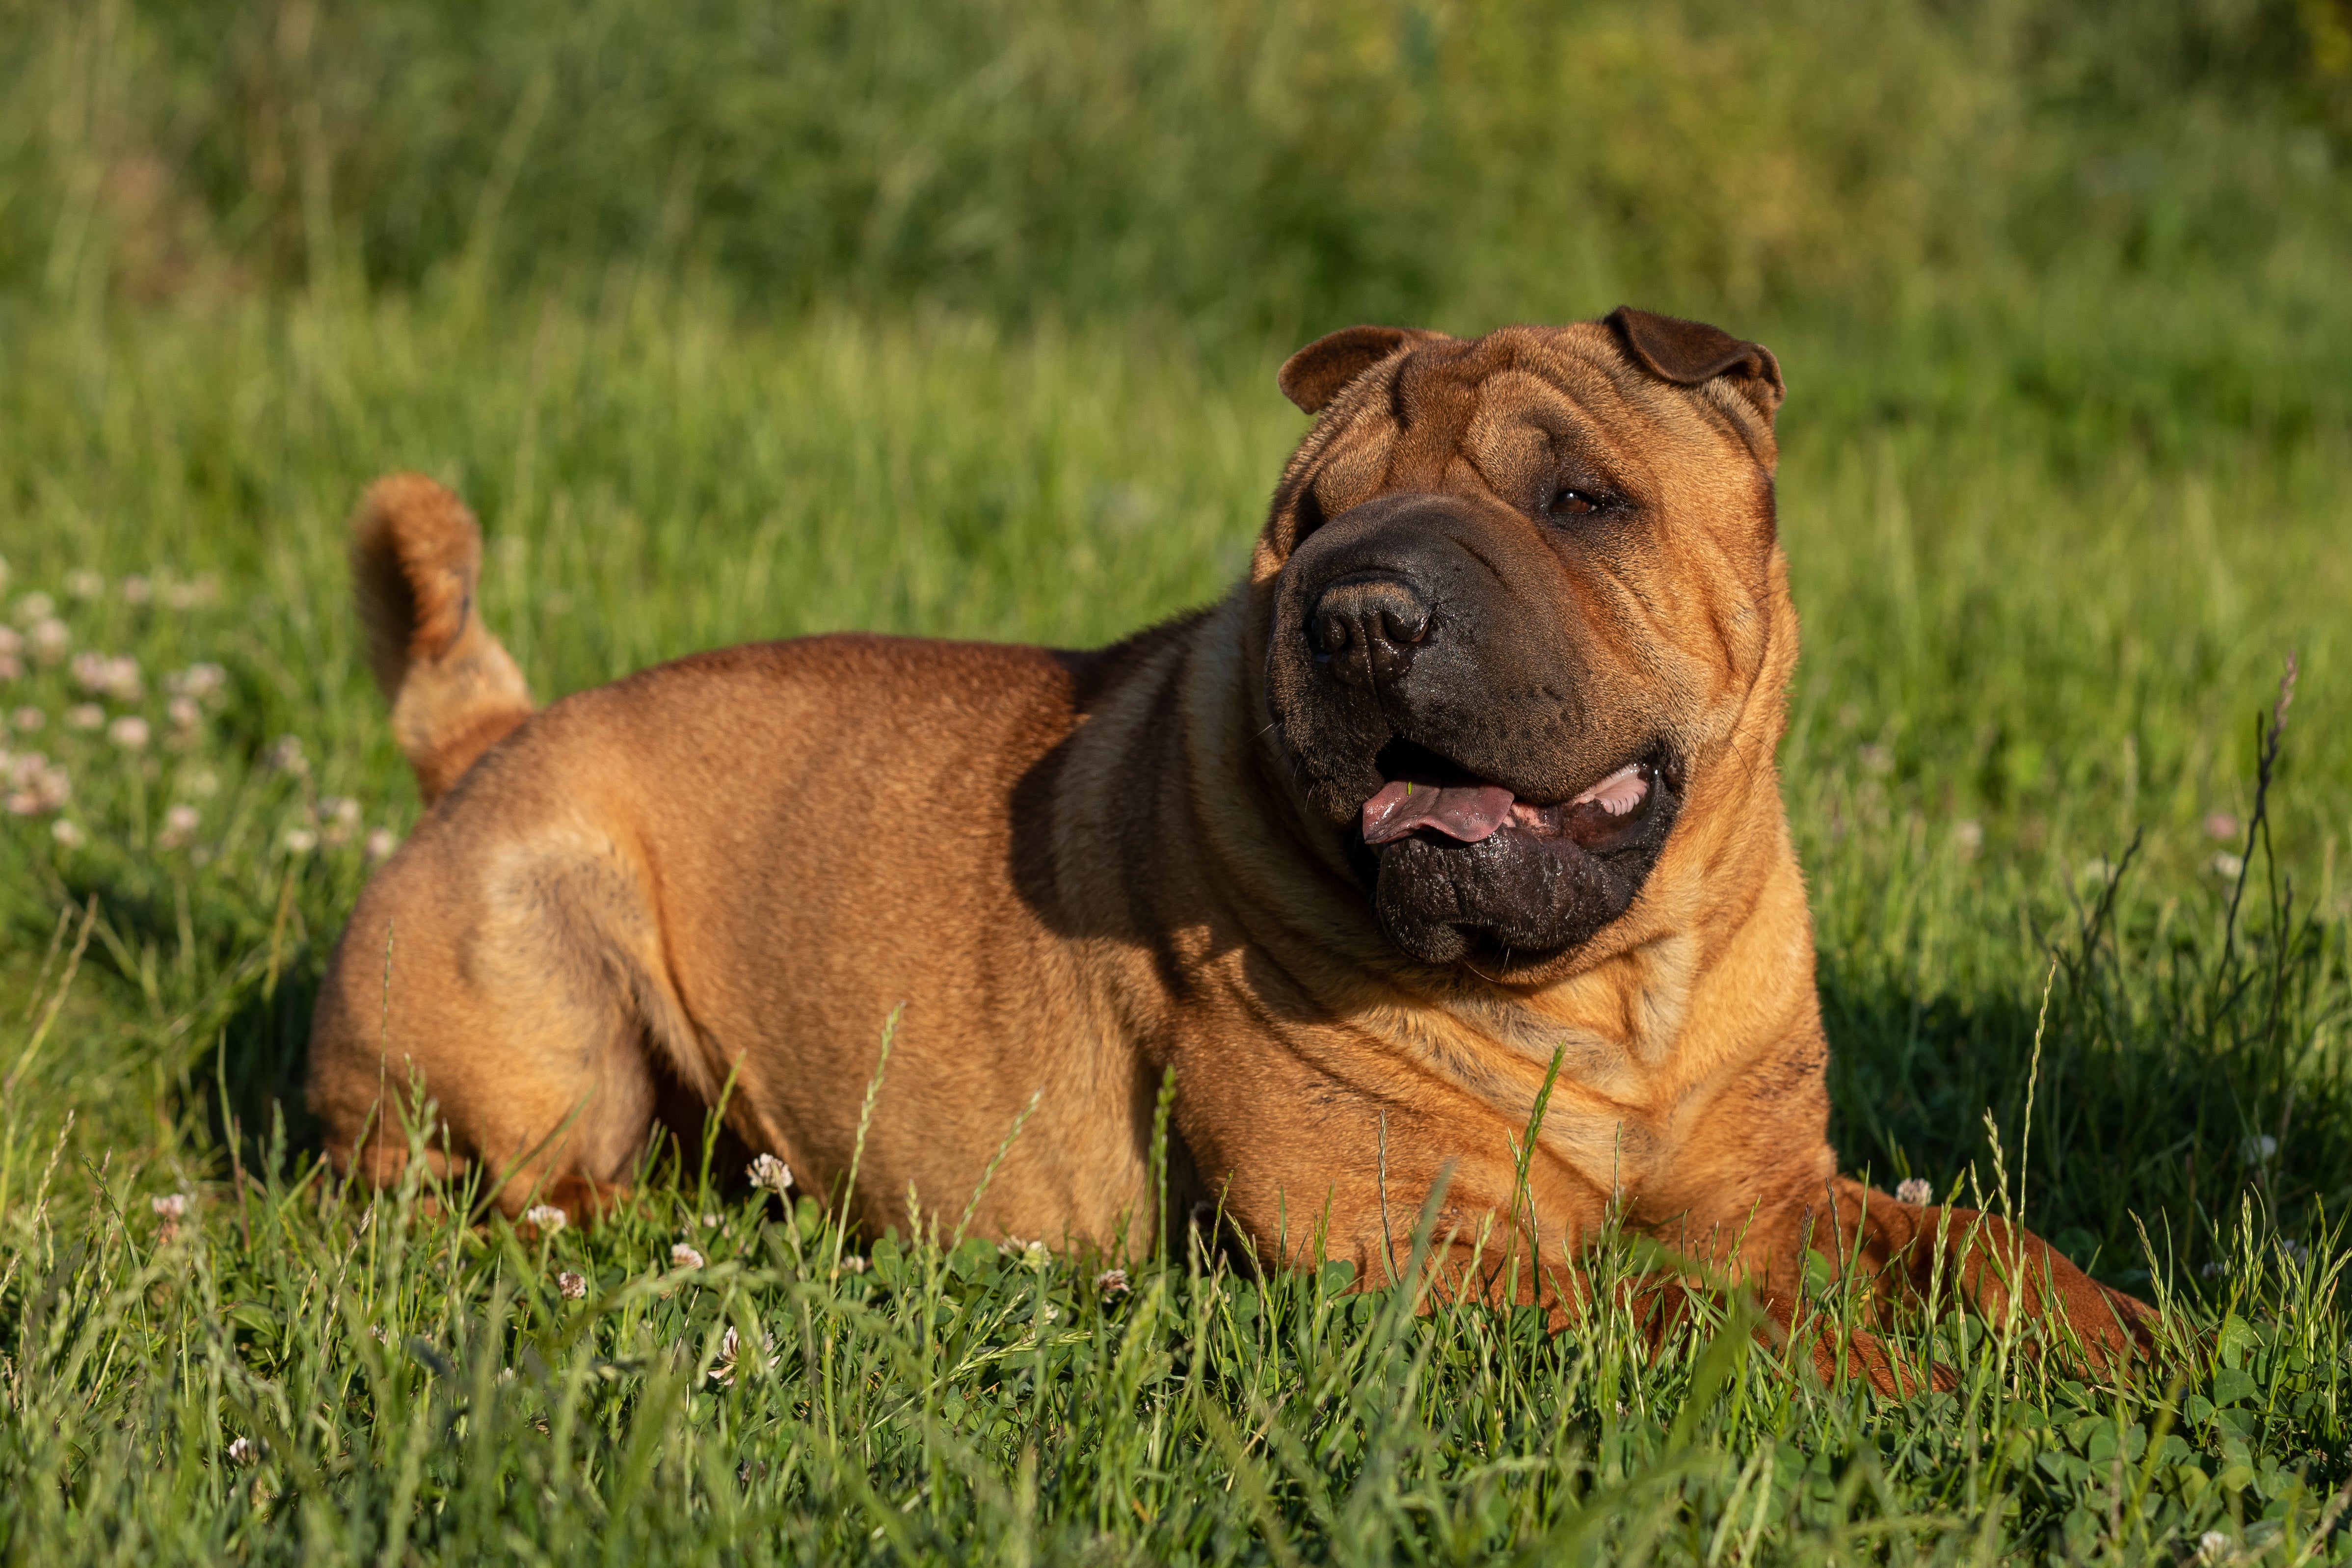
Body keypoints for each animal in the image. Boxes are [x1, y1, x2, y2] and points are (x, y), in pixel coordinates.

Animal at [313, 305, 2154, 1382]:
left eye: (1580, 499)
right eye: (1315, 520)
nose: (1360, 614)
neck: (1608, 989)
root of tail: (486, 739)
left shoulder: (1767, 1189)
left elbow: (1967, 1240)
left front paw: (2128, 1341)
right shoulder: (1419, 1246)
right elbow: (1684, 1316)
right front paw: (1882, 1383)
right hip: (540, 1014)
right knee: (471, 1186)